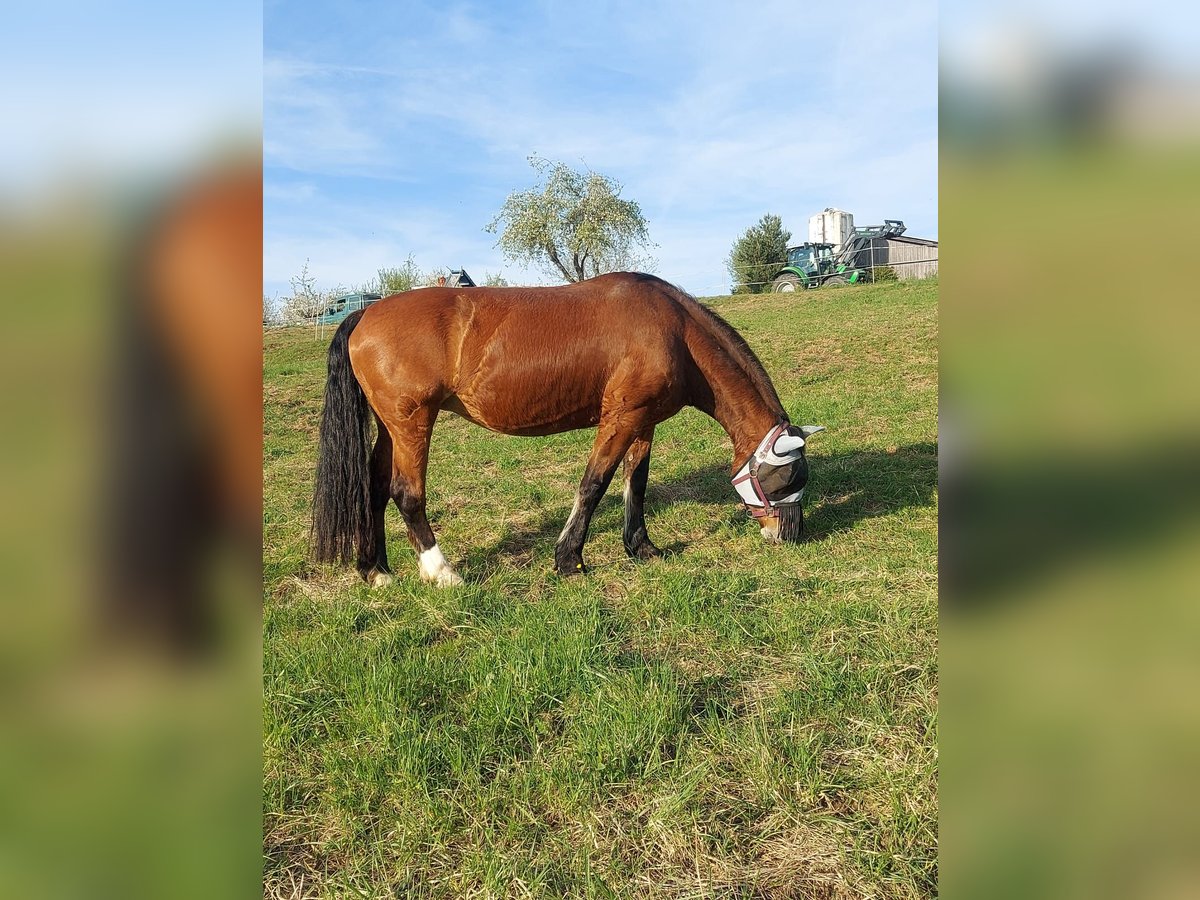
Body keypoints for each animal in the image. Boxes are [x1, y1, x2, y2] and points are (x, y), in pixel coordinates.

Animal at [309, 271, 825, 588]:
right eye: (786, 478)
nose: (789, 535)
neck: (673, 330)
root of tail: (364, 313)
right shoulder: (621, 417)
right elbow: (594, 484)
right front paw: (569, 560)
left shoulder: (643, 421)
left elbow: (635, 484)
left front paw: (641, 546)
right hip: (413, 423)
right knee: (405, 493)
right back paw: (441, 571)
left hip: (390, 427)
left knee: (374, 488)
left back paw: (375, 570)